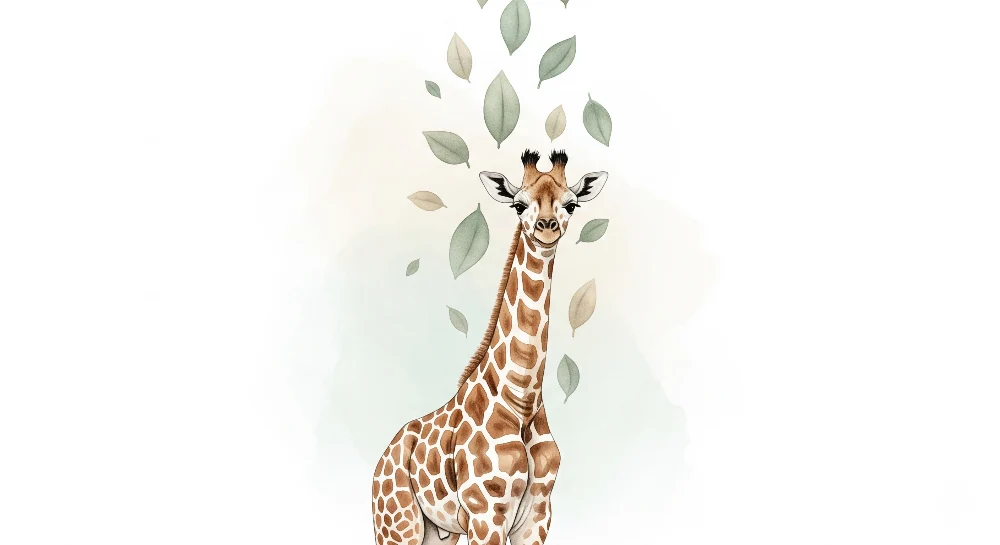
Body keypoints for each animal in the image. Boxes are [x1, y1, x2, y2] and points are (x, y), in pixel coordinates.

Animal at [371, 149, 609, 545]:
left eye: (571, 204)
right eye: (518, 204)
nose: (546, 227)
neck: (522, 400)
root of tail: (382, 457)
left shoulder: (537, 518)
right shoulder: (486, 514)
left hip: (438, 531)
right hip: (397, 524)